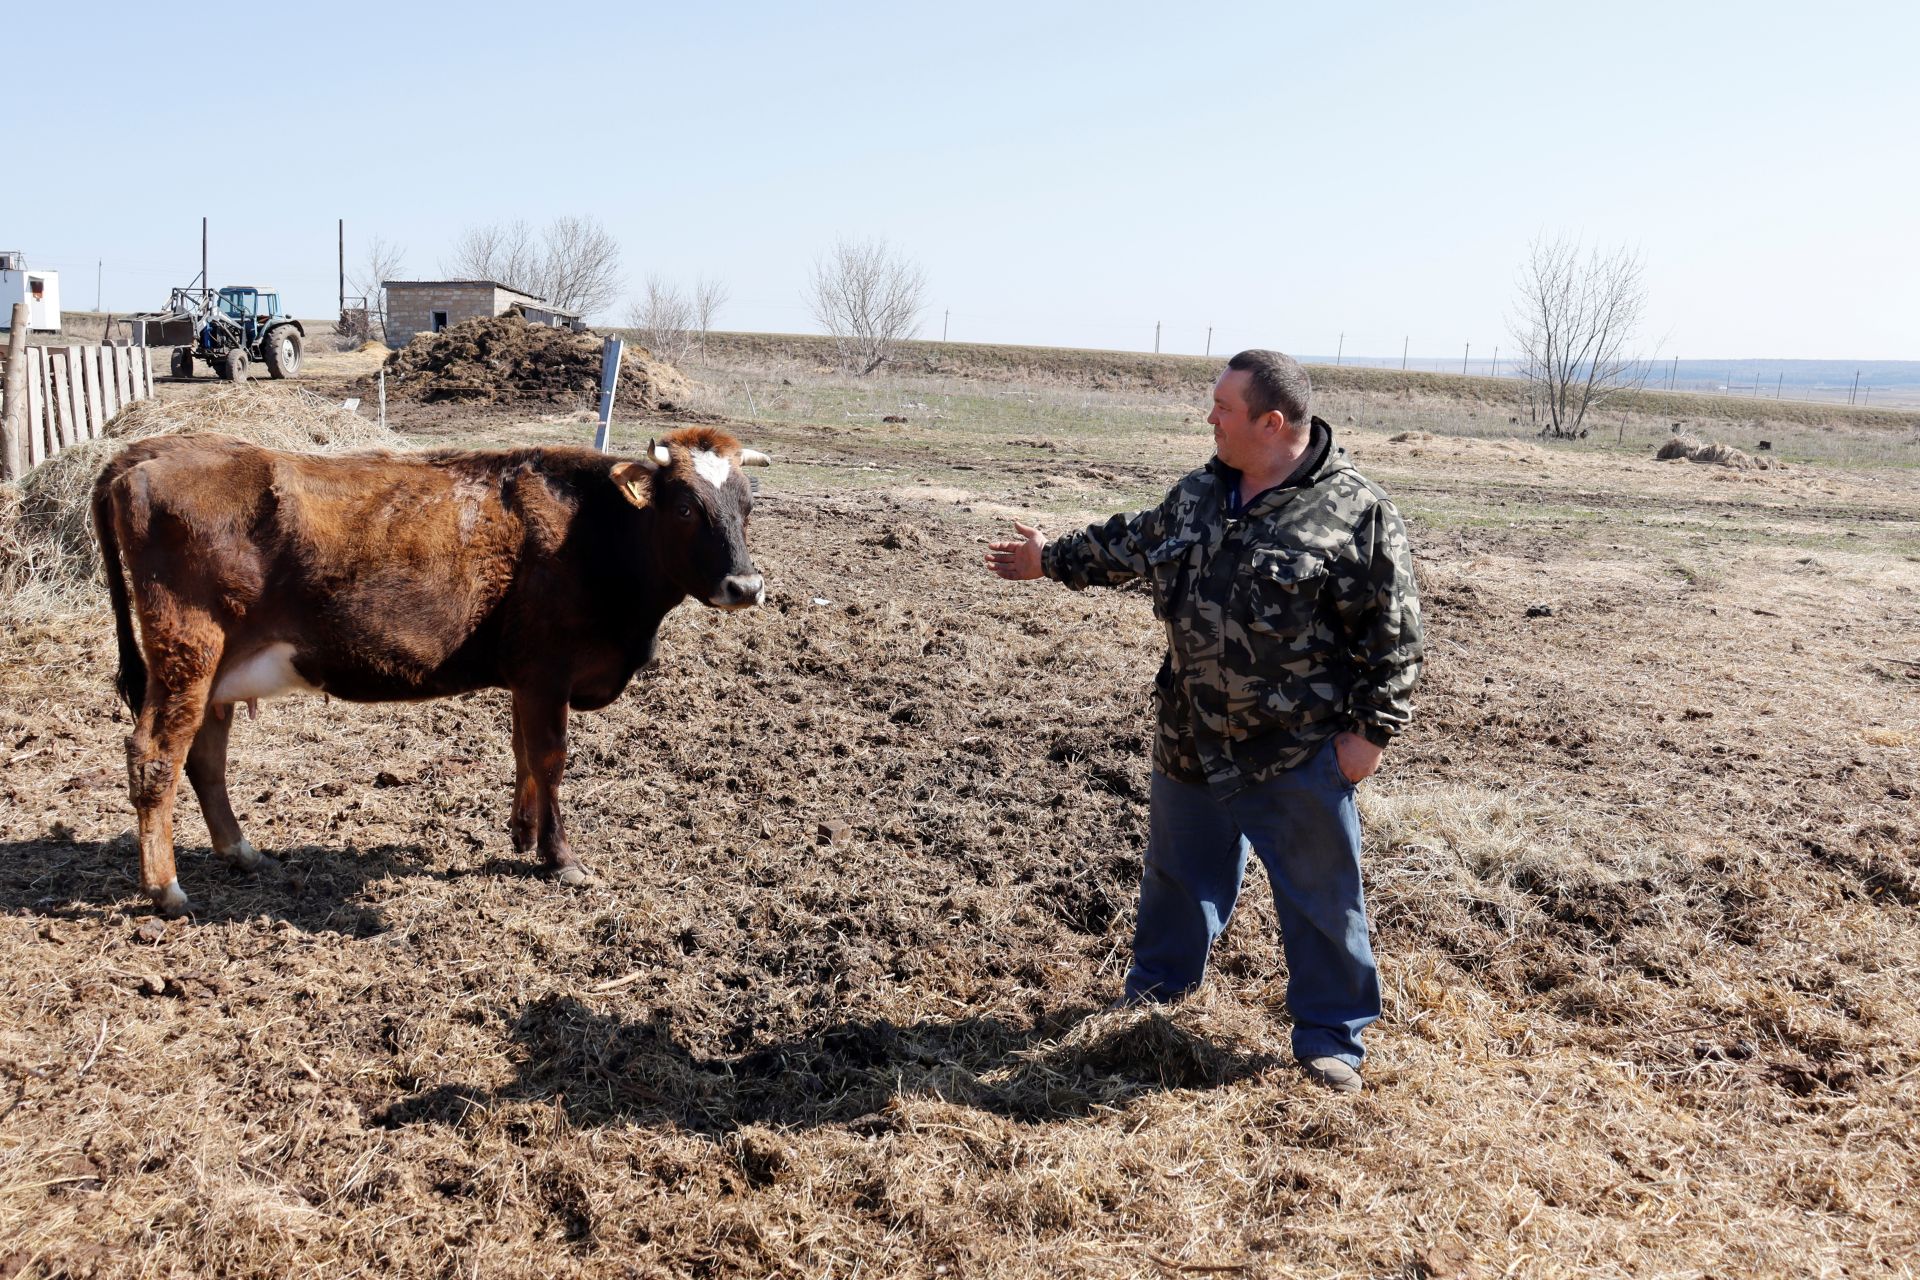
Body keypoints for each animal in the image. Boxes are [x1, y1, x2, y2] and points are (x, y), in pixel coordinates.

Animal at [88, 426, 764, 917]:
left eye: (748, 504)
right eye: (685, 507)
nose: (747, 586)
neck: (591, 532)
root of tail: (152, 448)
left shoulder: (525, 680)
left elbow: (523, 754)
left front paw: (523, 833)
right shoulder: (548, 674)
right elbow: (549, 760)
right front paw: (560, 857)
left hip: (218, 674)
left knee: (204, 758)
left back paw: (241, 851)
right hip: (188, 653)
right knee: (156, 756)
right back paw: (165, 889)